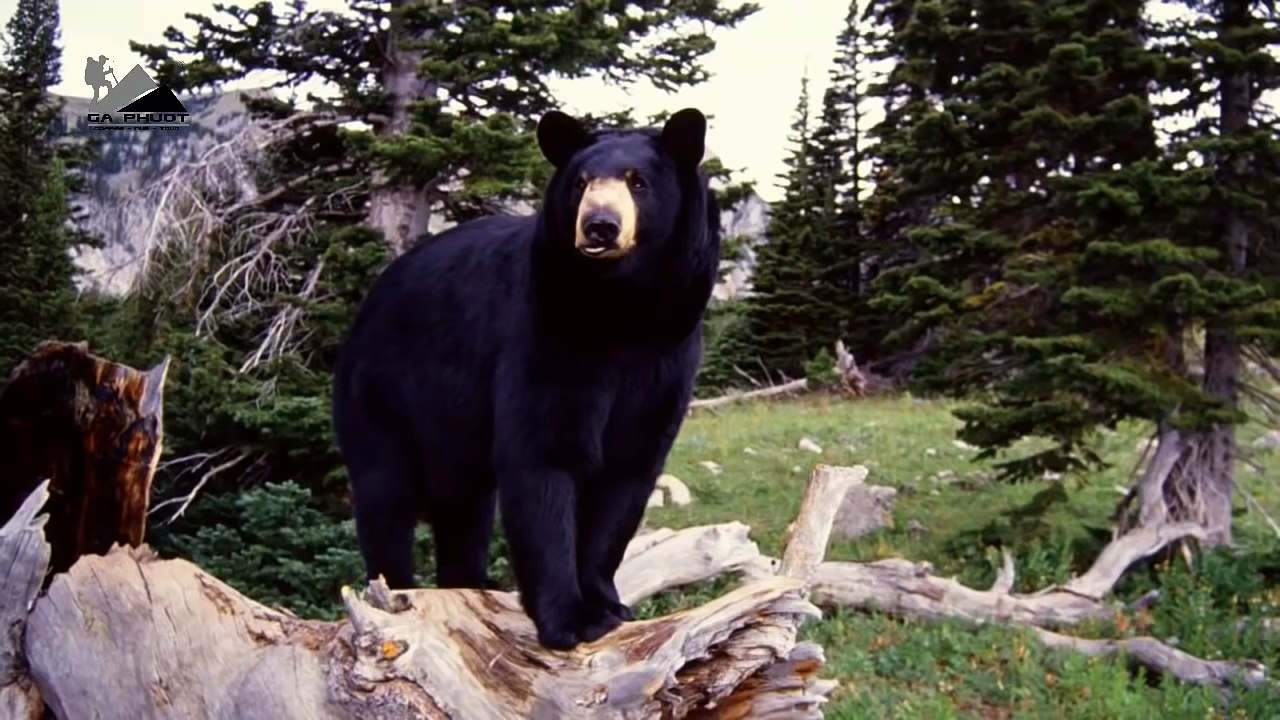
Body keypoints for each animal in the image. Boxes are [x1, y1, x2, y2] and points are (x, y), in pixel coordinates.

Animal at [330, 107, 720, 650]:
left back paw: (470, 583)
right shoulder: (543, 338)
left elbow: (627, 474)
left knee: (464, 508)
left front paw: (608, 603)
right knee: (385, 498)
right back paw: (399, 591)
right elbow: (543, 459)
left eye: (637, 181)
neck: (620, 315)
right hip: (382, 399)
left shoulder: (667, 360)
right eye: (580, 182)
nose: (600, 226)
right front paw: (569, 618)